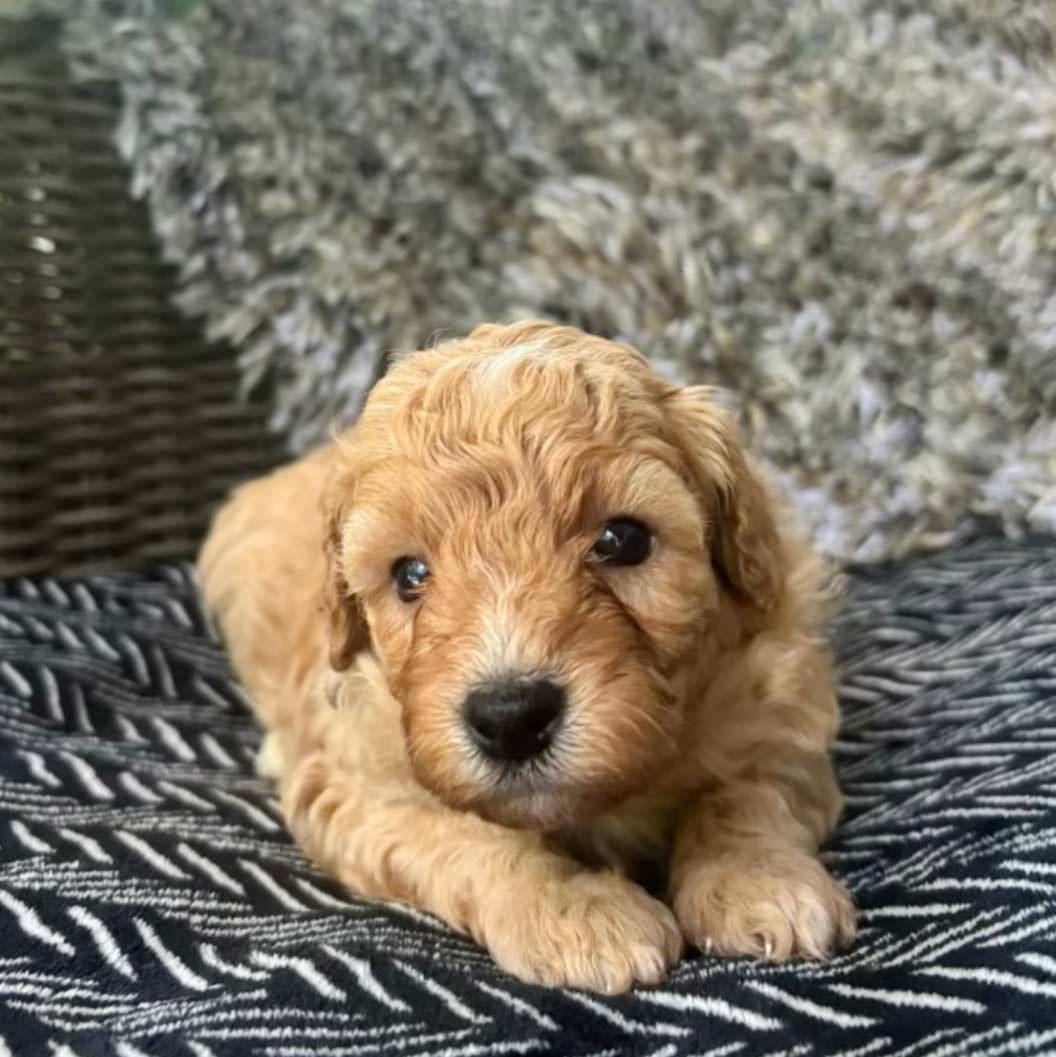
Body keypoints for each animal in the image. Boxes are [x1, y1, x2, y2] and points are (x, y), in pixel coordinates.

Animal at [199, 319, 858, 989]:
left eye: (623, 540)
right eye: (409, 575)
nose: (511, 717)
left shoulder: (778, 711)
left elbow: (744, 795)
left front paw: (760, 879)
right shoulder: (361, 789)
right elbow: (471, 835)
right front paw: (574, 909)